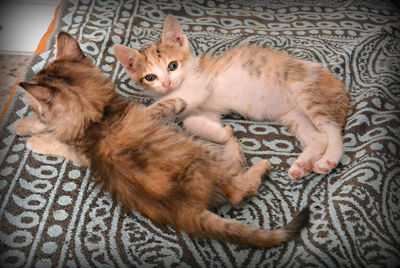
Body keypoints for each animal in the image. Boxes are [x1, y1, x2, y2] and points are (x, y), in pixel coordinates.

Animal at [114, 14, 348, 178]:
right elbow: (192, 121)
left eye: (173, 66)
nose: (167, 83)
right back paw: (303, 165)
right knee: (318, 138)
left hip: (308, 95)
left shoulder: (197, 87)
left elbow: (171, 103)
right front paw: (222, 134)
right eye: (150, 77)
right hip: (294, 116)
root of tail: (338, 84)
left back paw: (328, 159)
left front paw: (138, 114)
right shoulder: (206, 111)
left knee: (332, 130)